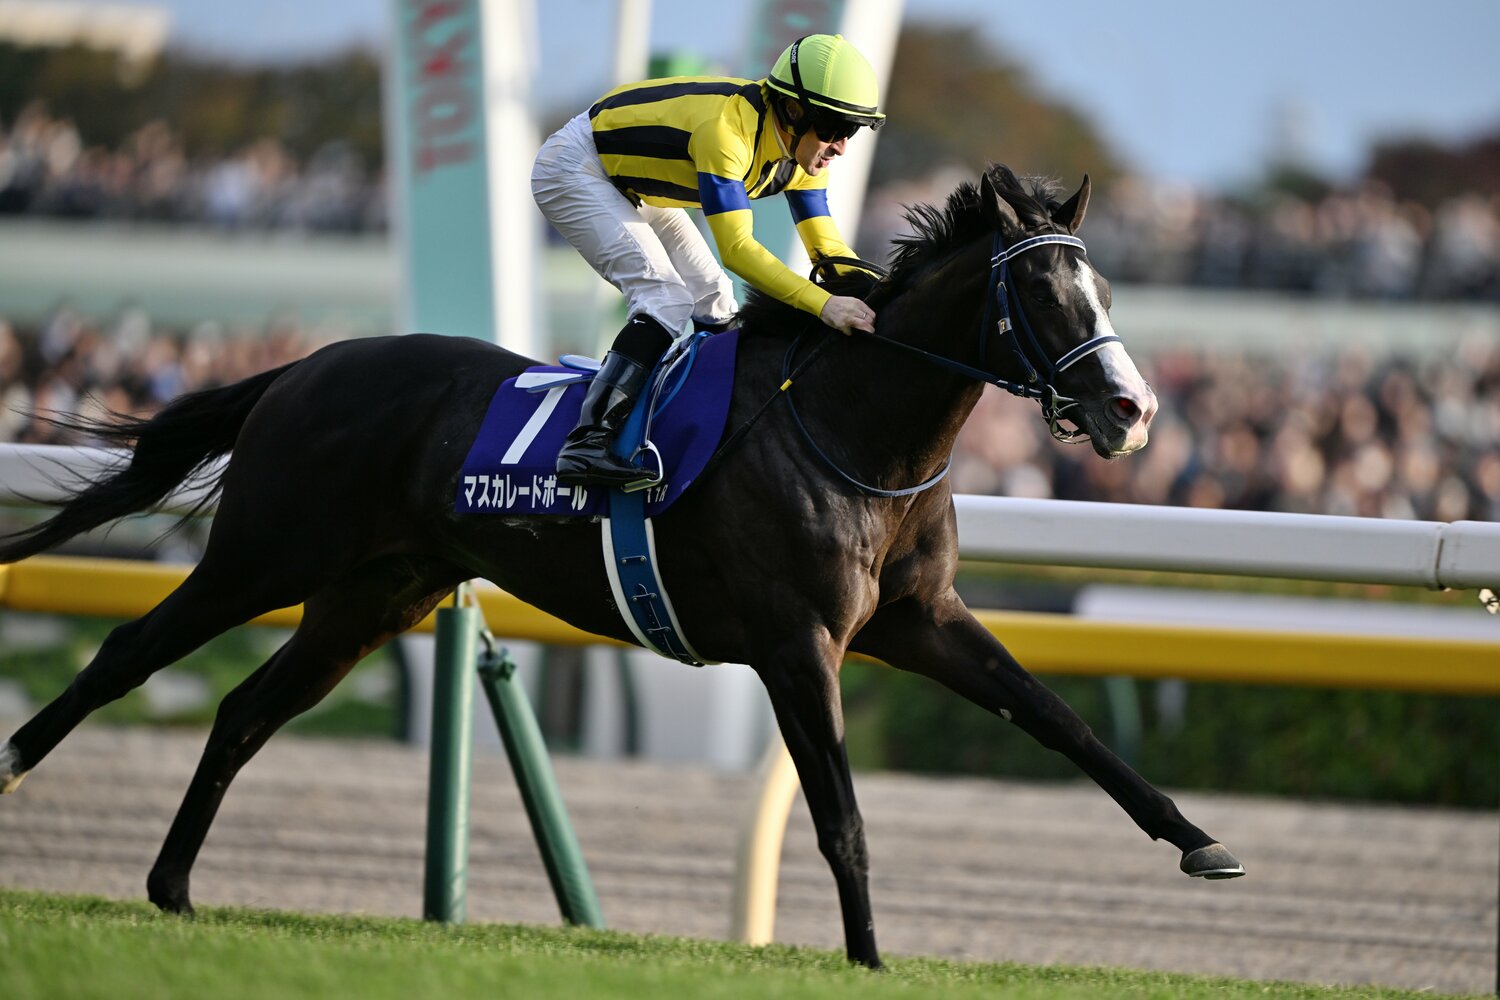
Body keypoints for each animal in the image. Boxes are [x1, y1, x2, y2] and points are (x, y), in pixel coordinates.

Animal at [0, 164, 1242, 968]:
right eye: (1038, 293)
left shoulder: (921, 619)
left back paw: (172, 885)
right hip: (267, 552)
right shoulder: (797, 643)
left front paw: (1203, 844)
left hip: (369, 595)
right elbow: (839, 809)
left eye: (1105, 293)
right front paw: (869, 957)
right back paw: (19, 770)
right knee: (127, 652)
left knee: (244, 711)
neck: (857, 429)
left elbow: (1058, 718)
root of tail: (301, 366)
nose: (1131, 410)